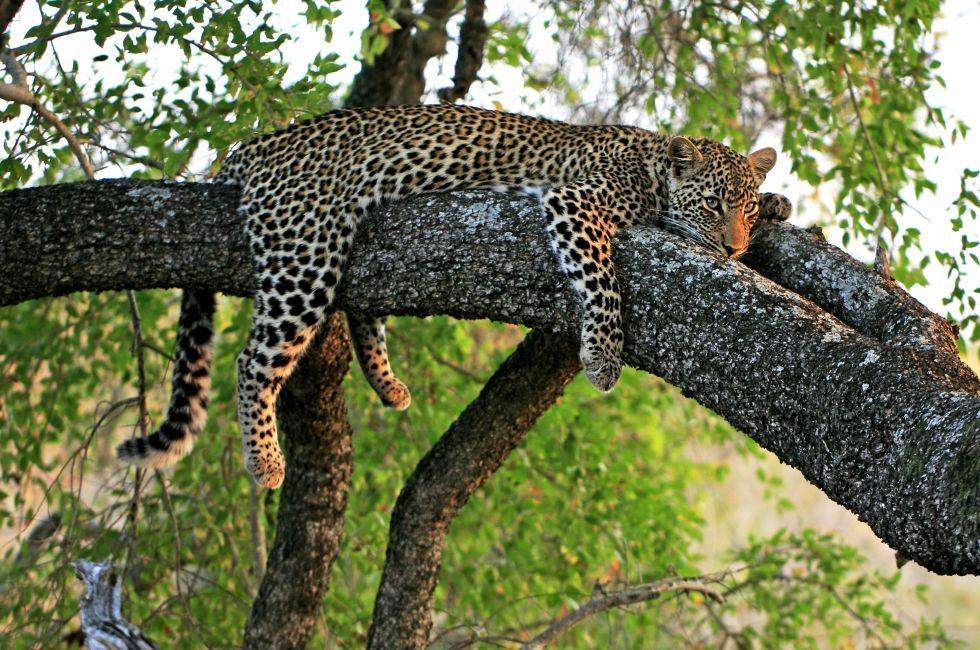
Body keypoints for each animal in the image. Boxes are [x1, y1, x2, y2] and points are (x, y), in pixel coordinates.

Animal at [116, 103, 790, 489]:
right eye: (713, 205)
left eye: (744, 208)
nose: (733, 249)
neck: (651, 162)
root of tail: (252, 146)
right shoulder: (574, 204)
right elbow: (602, 281)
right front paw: (602, 357)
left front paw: (780, 203)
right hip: (305, 251)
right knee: (253, 360)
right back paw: (265, 461)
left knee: (359, 310)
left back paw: (388, 385)